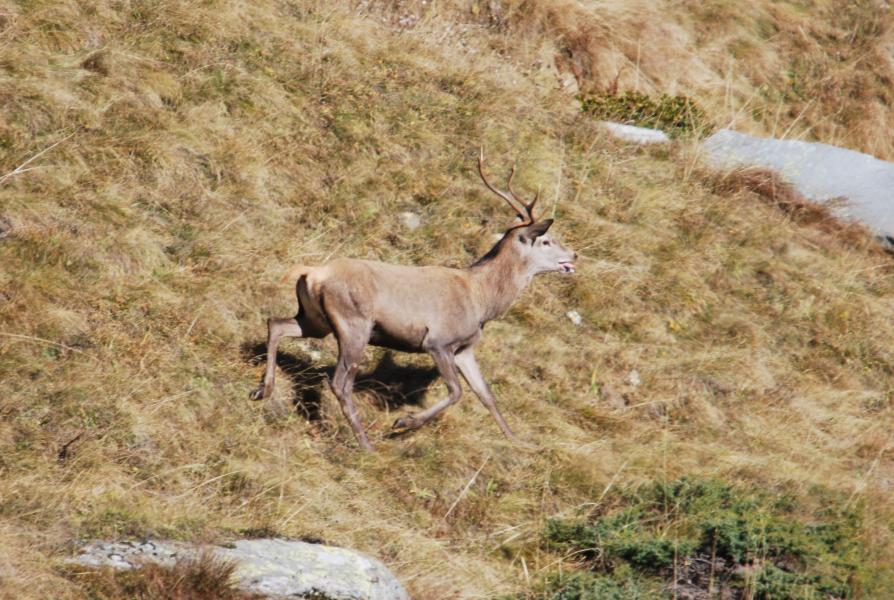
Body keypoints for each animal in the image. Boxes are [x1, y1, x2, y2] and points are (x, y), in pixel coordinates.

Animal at [250, 149, 577, 451]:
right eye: (546, 240)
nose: (573, 255)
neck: (482, 300)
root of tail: (313, 272)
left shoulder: (465, 348)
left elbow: (486, 394)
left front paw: (519, 441)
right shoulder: (438, 341)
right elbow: (456, 391)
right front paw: (403, 422)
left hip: (316, 320)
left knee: (276, 323)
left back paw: (263, 390)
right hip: (354, 324)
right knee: (339, 382)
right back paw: (365, 443)